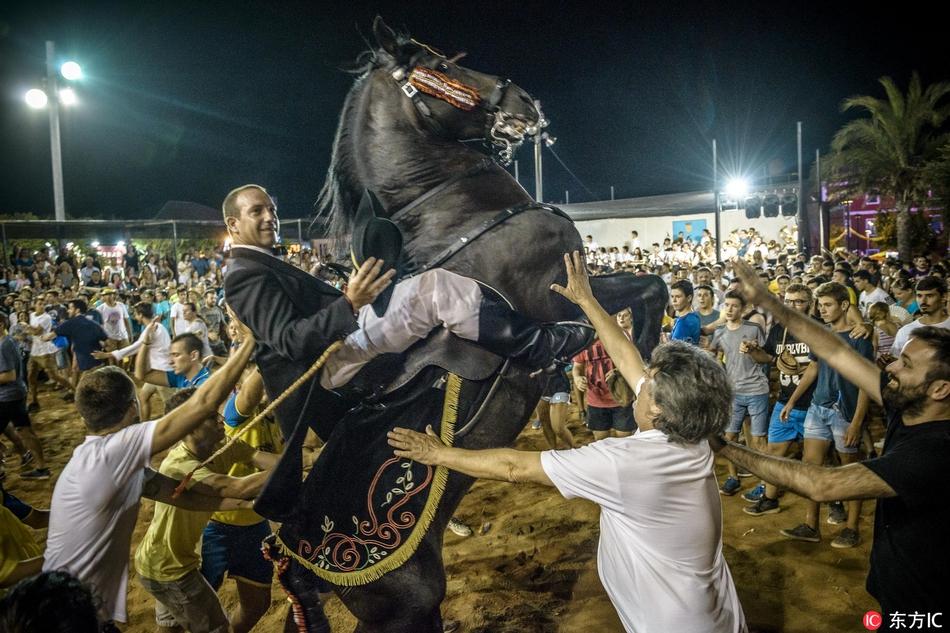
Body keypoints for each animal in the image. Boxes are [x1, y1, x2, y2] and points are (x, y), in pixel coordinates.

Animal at [284, 17, 668, 628]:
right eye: (440, 66)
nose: (524, 101)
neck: (462, 216)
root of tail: (305, 557)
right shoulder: (555, 298)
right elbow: (639, 297)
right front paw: (643, 380)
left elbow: (652, 287)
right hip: (409, 606)